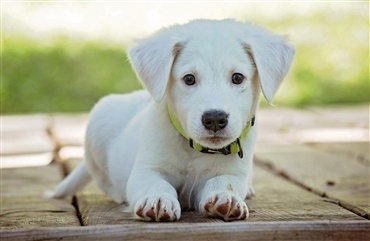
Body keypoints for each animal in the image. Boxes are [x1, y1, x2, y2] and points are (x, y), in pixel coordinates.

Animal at [51, 19, 294, 221]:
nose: (215, 119)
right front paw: (158, 199)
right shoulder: (146, 170)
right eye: (189, 79)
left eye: (237, 77)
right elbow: (156, 184)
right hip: (99, 123)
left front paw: (226, 198)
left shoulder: (233, 173)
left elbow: (223, 182)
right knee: (104, 180)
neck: (194, 150)